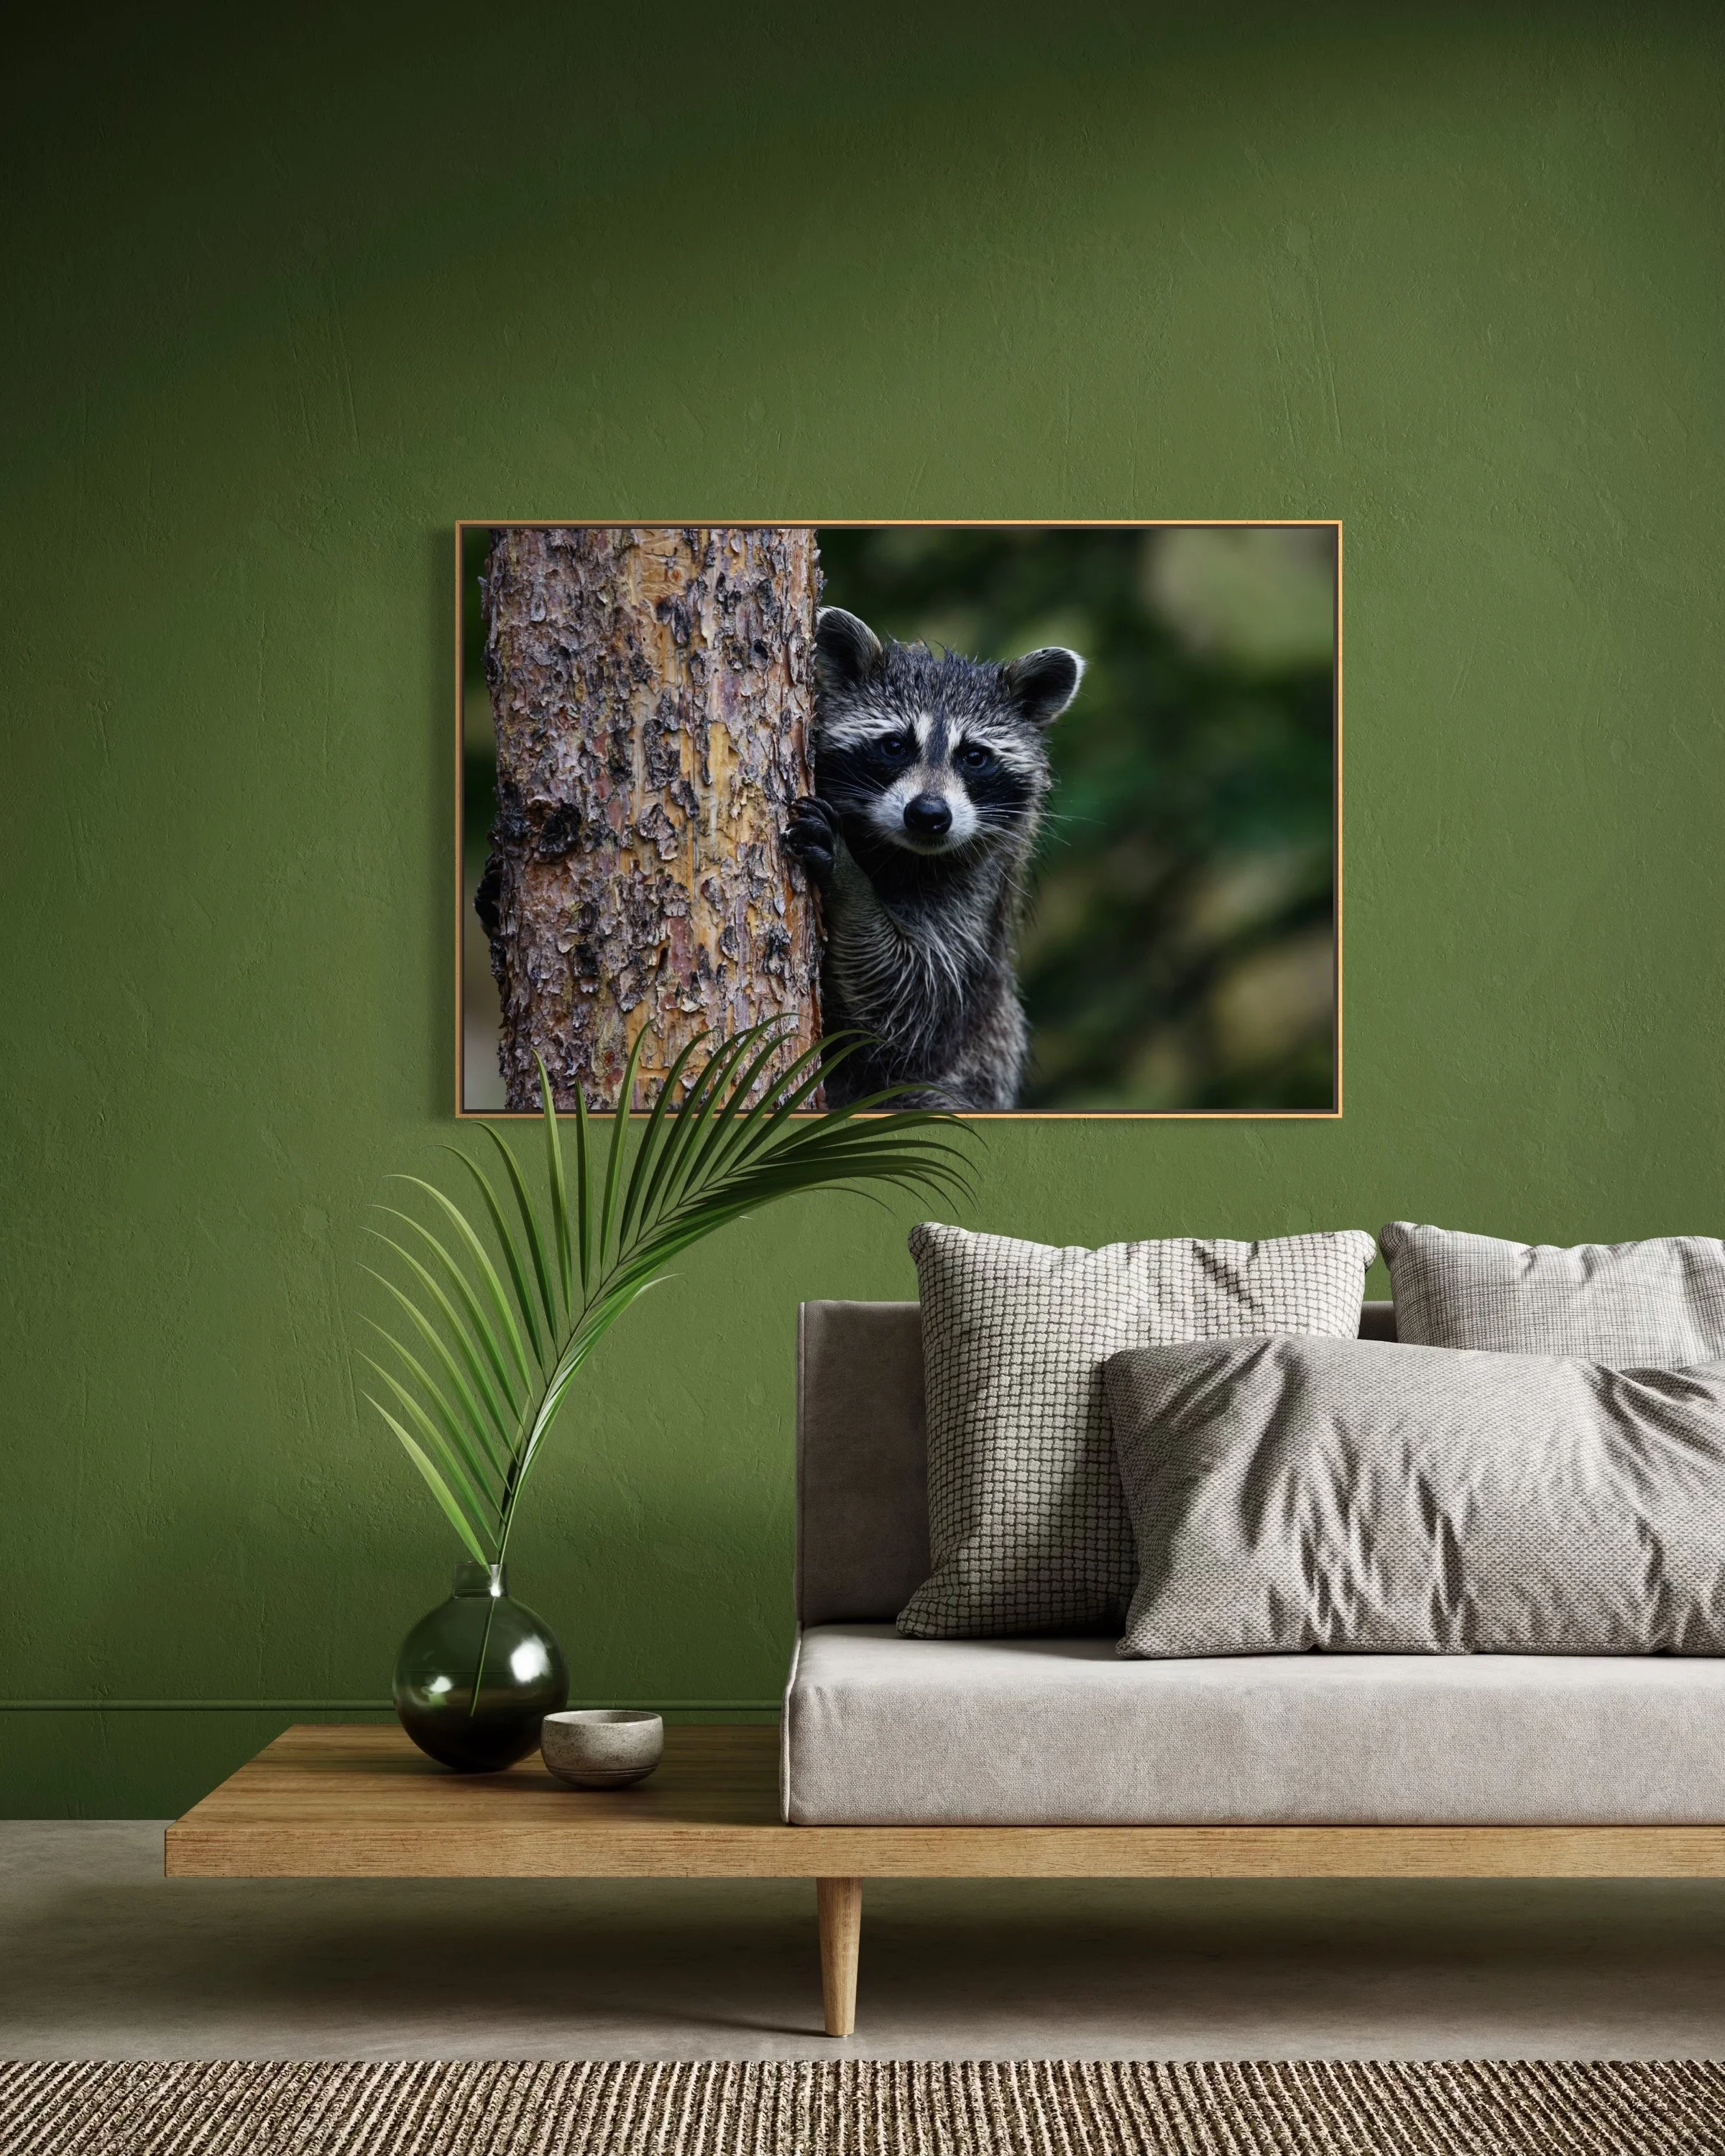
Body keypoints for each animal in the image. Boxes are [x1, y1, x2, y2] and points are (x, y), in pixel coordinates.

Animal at [785, 606, 1084, 1110]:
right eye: (895, 746)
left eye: (975, 757)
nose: (928, 815)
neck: (898, 853)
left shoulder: (973, 904)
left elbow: (909, 1011)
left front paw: (850, 882)